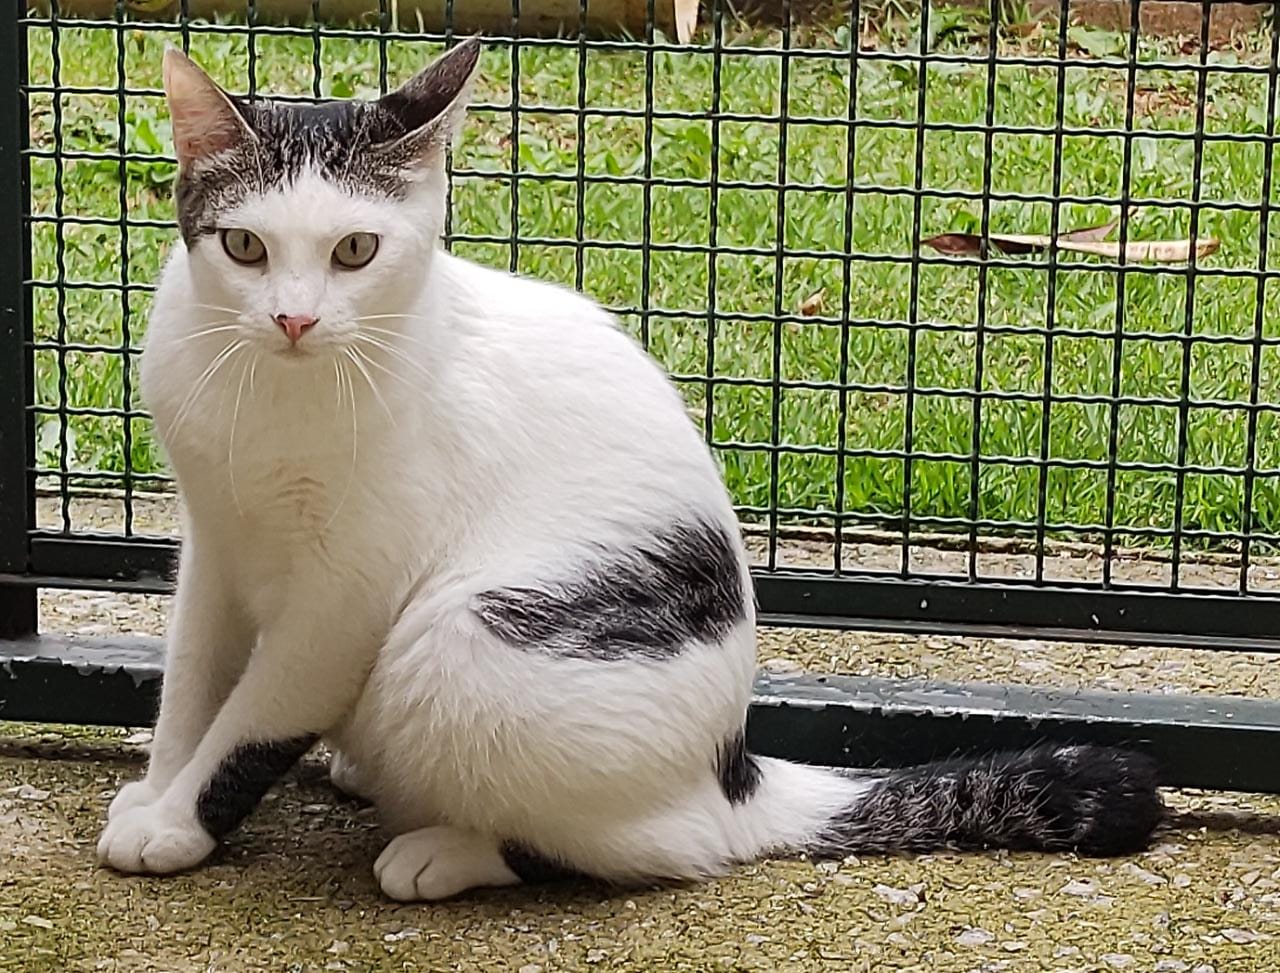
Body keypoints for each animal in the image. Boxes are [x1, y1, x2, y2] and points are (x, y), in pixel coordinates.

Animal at [94, 39, 1167, 906]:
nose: (295, 318)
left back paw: (447, 847)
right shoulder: (214, 539)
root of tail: (730, 770)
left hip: (462, 642)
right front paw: (160, 782)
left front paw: (179, 821)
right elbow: (192, 683)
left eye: (356, 248)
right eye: (244, 245)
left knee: (656, 846)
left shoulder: (346, 593)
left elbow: (256, 716)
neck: (272, 398)